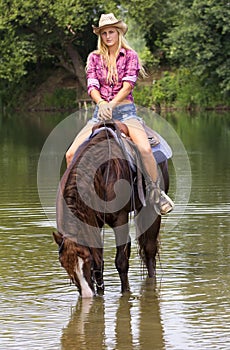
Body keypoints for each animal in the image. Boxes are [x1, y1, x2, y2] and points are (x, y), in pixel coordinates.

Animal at [53, 119, 169, 296]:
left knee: (150, 251)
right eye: (64, 264)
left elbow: (121, 261)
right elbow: (98, 265)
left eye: (85, 258)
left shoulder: (120, 219)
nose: (87, 295)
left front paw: (126, 293)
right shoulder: (92, 224)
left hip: (151, 211)